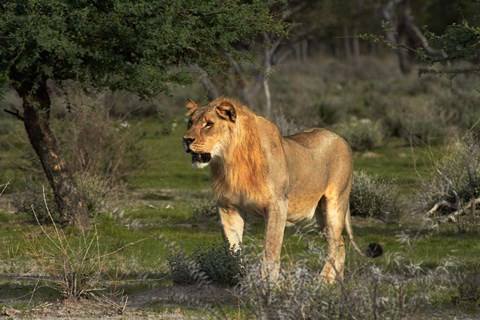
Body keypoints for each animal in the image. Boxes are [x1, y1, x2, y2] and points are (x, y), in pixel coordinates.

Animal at [182, 97, 380, 282]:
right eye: (190, 122)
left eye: (209, 124)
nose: (186, 140)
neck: (229, 161)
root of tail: (340, 138)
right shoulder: (227, 207)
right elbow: (233, 249)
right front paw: (240, 279)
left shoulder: (277, 204)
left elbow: (270, 248)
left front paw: (268, 284)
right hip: (321, 213)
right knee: (340, 245)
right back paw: (334, 282)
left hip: (335, 203)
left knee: (335, 245)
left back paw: (322, 282)